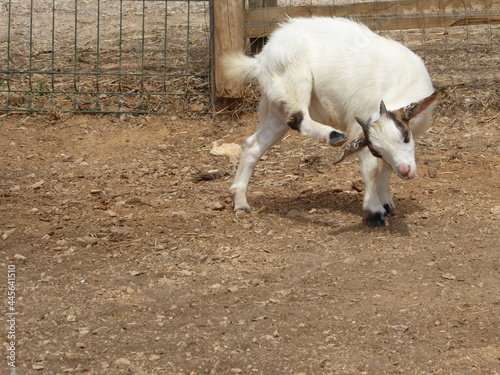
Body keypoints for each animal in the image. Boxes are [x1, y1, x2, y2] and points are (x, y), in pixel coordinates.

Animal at [224, 17, 438, 228]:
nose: (406, 172)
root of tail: (261, 59)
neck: (398, 87)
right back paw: (333, 136)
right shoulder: (359, 128)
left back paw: (240, 201)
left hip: (278, 107)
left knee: (254, 144)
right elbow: (372, 170)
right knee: (298, 119)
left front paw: (385, 201)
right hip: (295, 75)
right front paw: (375, 212)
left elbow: (387, 166)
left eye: (406, 136)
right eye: (376, 151)